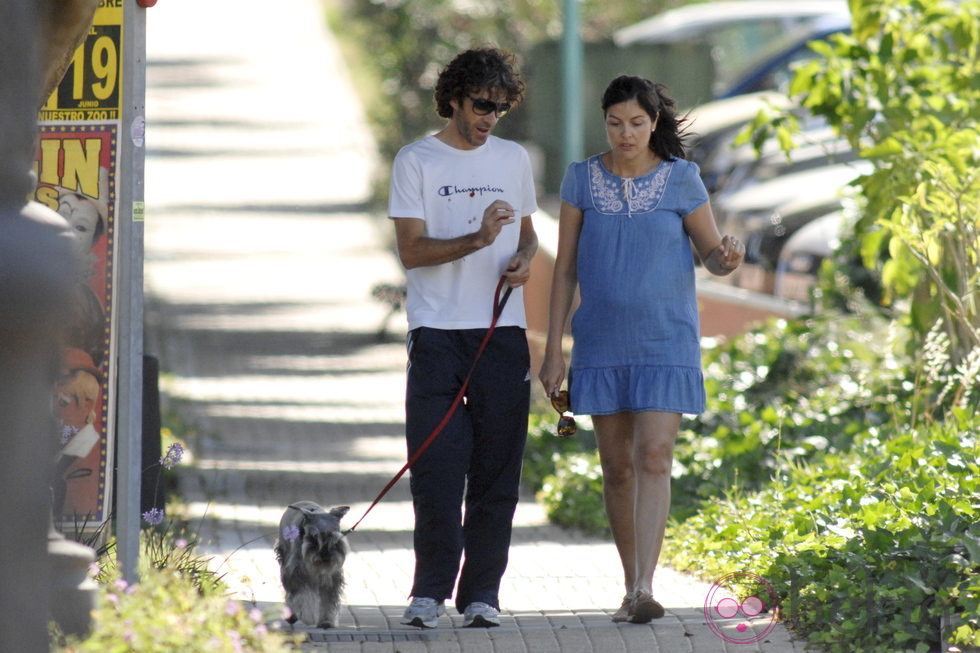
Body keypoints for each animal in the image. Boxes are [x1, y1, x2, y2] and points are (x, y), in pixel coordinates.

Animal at [274, 500, 350, 628]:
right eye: (313, 537)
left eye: (334, 539)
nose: (325, 557)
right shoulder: (297, 574)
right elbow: (303, 597)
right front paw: (308, 617)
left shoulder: (331, 579)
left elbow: (328, 601)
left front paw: (326, 621)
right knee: (290, 595)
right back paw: (292, 615)